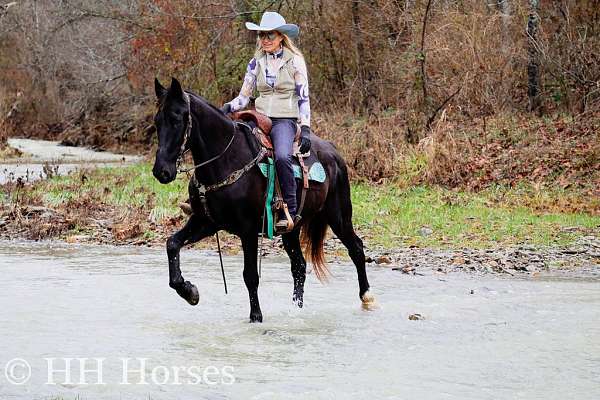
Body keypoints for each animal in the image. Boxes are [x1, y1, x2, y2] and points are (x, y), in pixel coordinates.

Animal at [152, 77, 372, 322]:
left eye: (176, 119)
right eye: (157, 121)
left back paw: (367, 297)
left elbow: (250, 275)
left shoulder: (247, 230)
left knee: (356, 249)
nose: (161, 171)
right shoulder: (206, 222)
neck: (226, 160)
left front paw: (256, 316)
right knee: (299, 266)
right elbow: (172, 244)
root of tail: (333, 152)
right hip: (292, 228)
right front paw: (189, 291)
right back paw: (296, 309)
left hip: (339, 216)